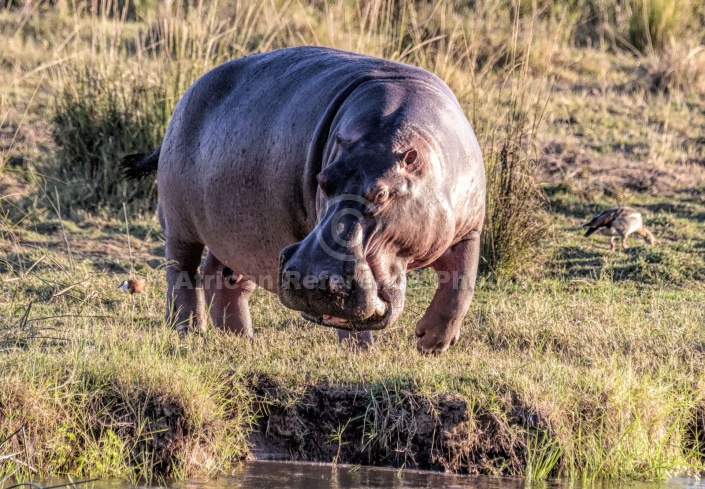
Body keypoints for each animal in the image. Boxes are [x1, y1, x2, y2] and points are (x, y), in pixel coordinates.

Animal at [122, 45, 484, 352]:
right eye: (323, 181)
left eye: (381, 193)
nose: (311, 279)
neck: (389, 135)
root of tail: (187, 94)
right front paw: (360, 354)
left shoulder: (469, 229)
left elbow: (461, 285)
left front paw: (432, 344)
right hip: (180, 224)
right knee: (181, 272)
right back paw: (189, 331)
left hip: (237, 234)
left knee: (222, 278)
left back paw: (242, 339)